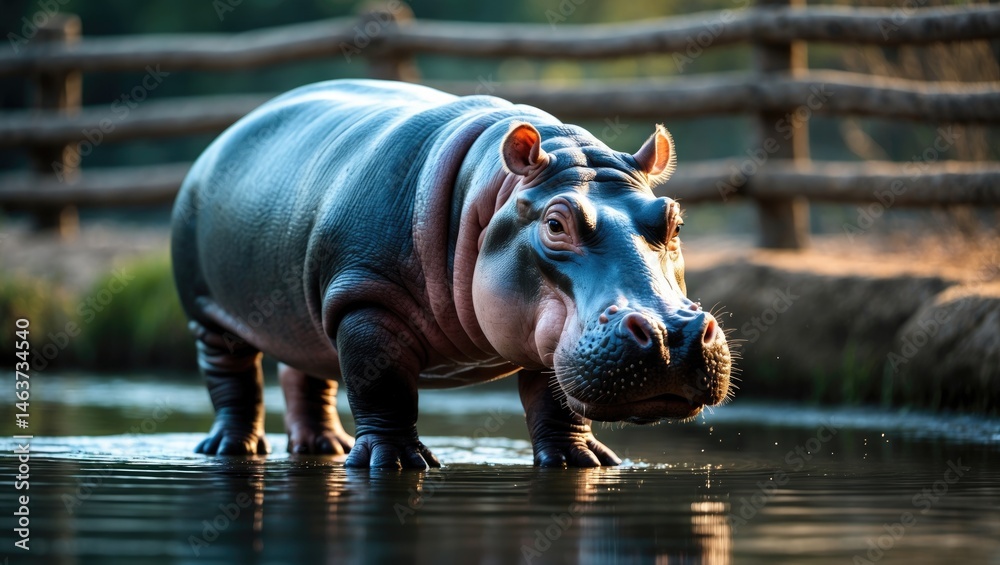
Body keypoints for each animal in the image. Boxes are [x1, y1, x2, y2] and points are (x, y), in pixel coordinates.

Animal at [171, 79, 732, 469]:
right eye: (555, 223)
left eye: (673, 219)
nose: (672, 333)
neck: (490, 195)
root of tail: (227, 133)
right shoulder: (365, 301)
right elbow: (383, 387)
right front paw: (394, 462)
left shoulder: (549, 339)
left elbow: (555, 402)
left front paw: (584, 460)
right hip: (209, 313)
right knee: (233, 377)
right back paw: (233, 448)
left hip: (303, 315)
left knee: (305, 370)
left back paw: (325, 446)